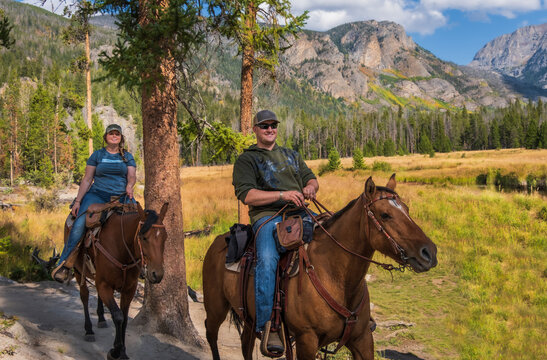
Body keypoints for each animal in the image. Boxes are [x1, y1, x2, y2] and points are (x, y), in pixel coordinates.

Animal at [65, 202, 167, 360]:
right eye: (144, 237)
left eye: (165, 237)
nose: (157, 274)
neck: (121, 247)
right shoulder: (104, 285)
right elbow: (118, 316)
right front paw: (115, 351)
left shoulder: (129, 289)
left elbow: (124, 319)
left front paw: (123, 351)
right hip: (78, 271)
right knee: (84, 296)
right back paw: (89, 330)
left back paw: (101, 318)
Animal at [203, 174, 438, 358]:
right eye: (385, 215)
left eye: (407, 208)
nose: (430, 253)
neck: (336, 276)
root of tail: (218, 241)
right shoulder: (306, 340)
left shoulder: (362, 339)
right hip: (215, 308)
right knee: (211, 334)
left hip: (250, 319)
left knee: (245, 344)